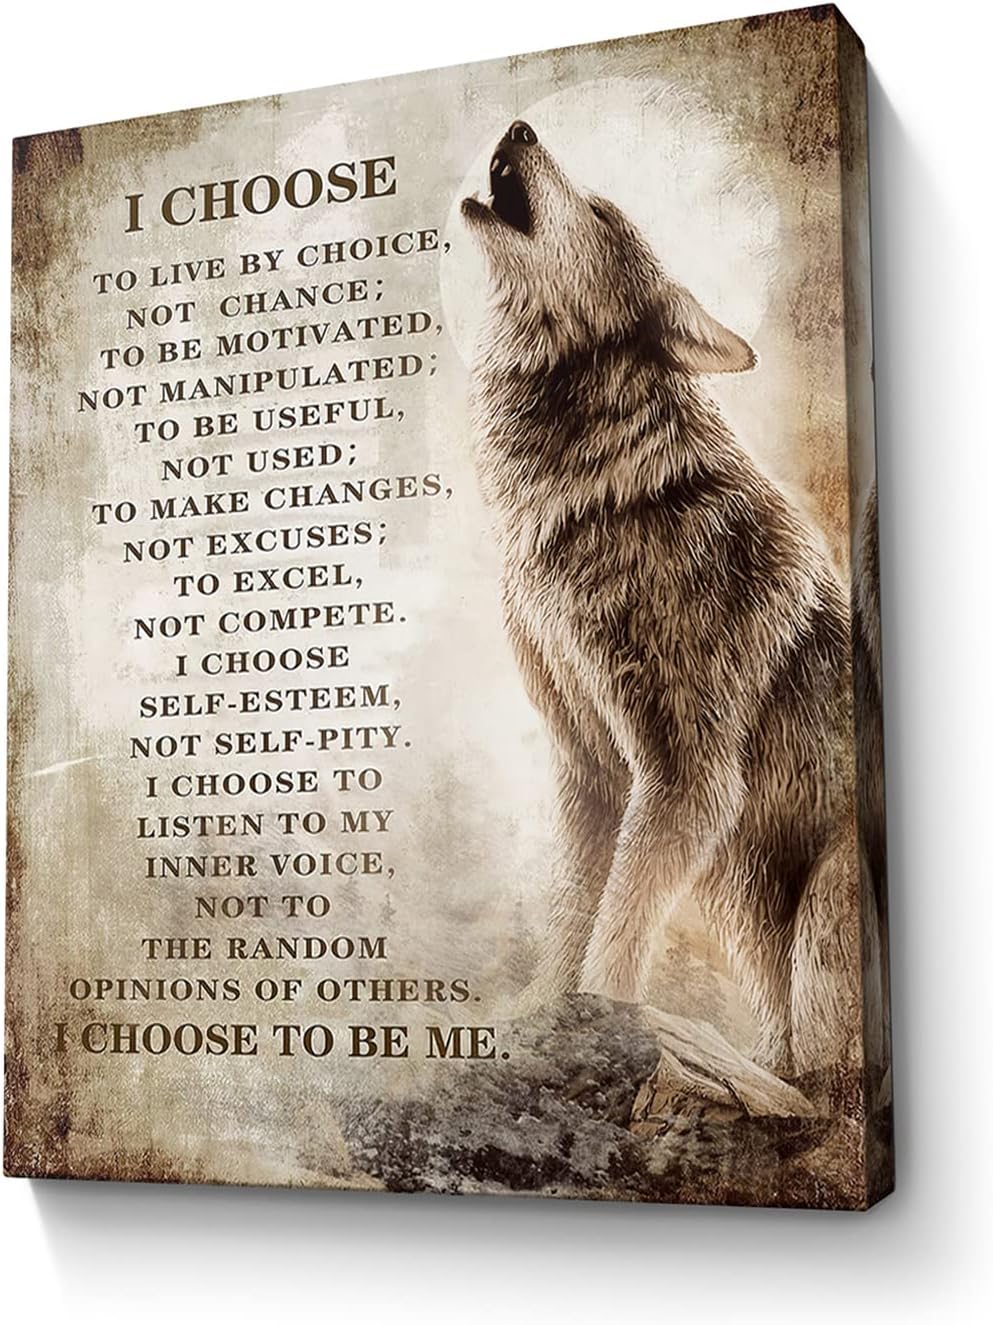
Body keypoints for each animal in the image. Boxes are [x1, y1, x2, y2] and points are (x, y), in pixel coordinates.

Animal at [462, 120, 861, 1078]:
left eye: (602, 212)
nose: (519, 126)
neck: (605, 493)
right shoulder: (591, 767)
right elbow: (576, 910)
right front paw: (536, 1012)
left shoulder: (687, 778)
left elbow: (617, 927)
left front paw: (603, 1018)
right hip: (747, 899)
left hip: (815, 912)